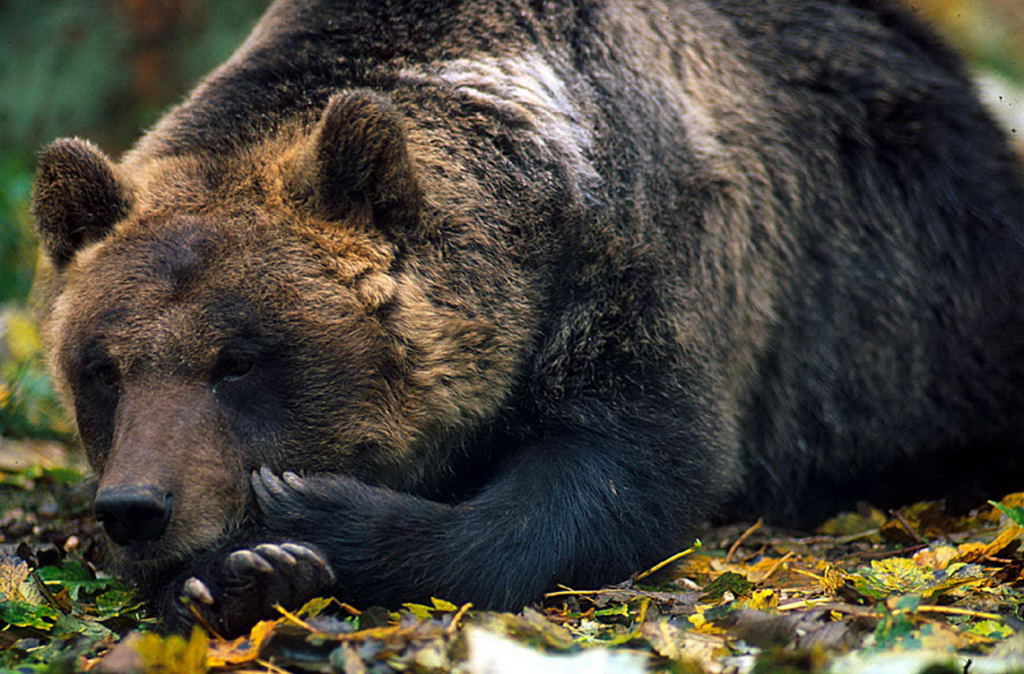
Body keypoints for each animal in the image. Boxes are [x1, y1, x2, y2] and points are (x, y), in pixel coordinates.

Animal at [28, 0, 1024, 635]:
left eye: (238, 359)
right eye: (102, 369)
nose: (137, 507)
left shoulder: (636, 260)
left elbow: (622, 476)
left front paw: (310, 519)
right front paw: (232, 579)